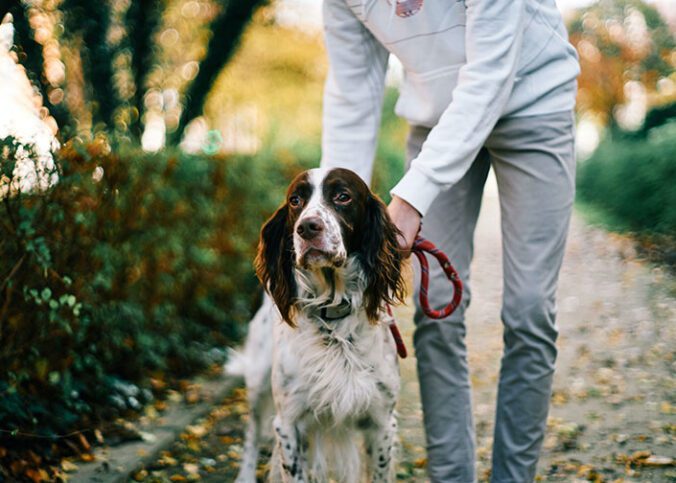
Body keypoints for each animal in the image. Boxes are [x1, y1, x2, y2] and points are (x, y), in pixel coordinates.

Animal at [227, 167, 406, 483]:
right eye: (295, 200)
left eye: (343, 196)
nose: (307, 228)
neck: (333, 314)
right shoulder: (288, 423)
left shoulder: (382, 422)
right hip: (258, 380)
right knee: (252, 432)